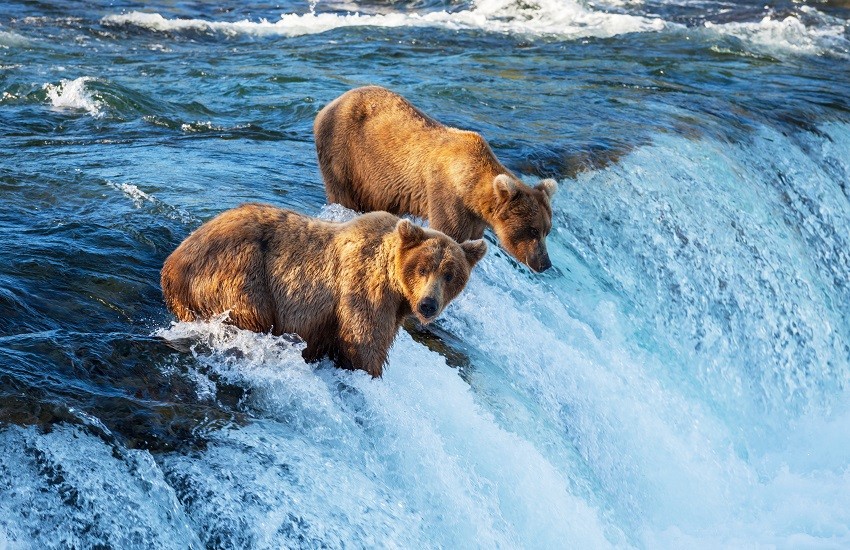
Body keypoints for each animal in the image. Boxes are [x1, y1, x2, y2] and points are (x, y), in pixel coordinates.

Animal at [159, 204, 484, 380]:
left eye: (450, 275)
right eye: (423, 268)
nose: (428, 304)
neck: (396, 287)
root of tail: (171, 265)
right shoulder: (363, 290)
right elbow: (364, 345)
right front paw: (370, 372)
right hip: (239, 274)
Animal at [312, 86, 556, 274]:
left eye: (547, 230)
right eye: (533, 230)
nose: (545, 263)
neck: (470, 189)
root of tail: (328, 105)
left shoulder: (475, 217)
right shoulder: (447, 195)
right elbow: (449, 232)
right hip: (346, 154)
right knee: (343, 193)